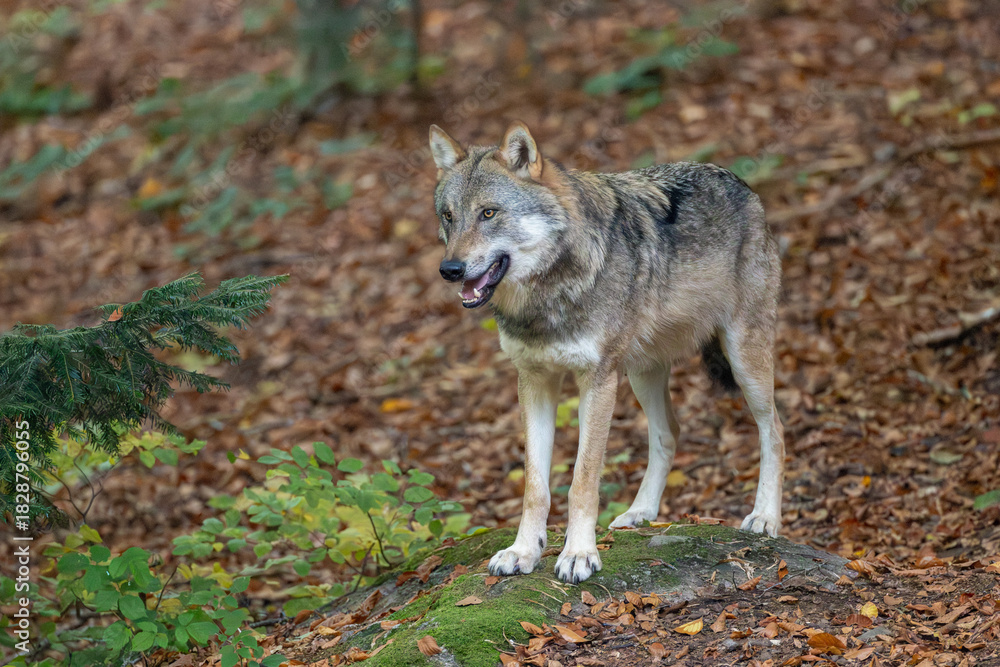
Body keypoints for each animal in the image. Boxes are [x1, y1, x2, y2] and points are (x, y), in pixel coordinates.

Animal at [429, 121, 784, 584]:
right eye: (448, 216)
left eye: (488, 213)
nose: (449, 270)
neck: (548, 299)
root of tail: (741, 184)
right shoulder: (533, 382)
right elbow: (534, 485)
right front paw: (523, 551)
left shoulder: (596, 382)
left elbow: (582, 480)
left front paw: (578, 554)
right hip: (641, 374)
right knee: (669, 433)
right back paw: (640, 512)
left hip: (743, 360)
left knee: (774, 428)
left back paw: (765, 518)